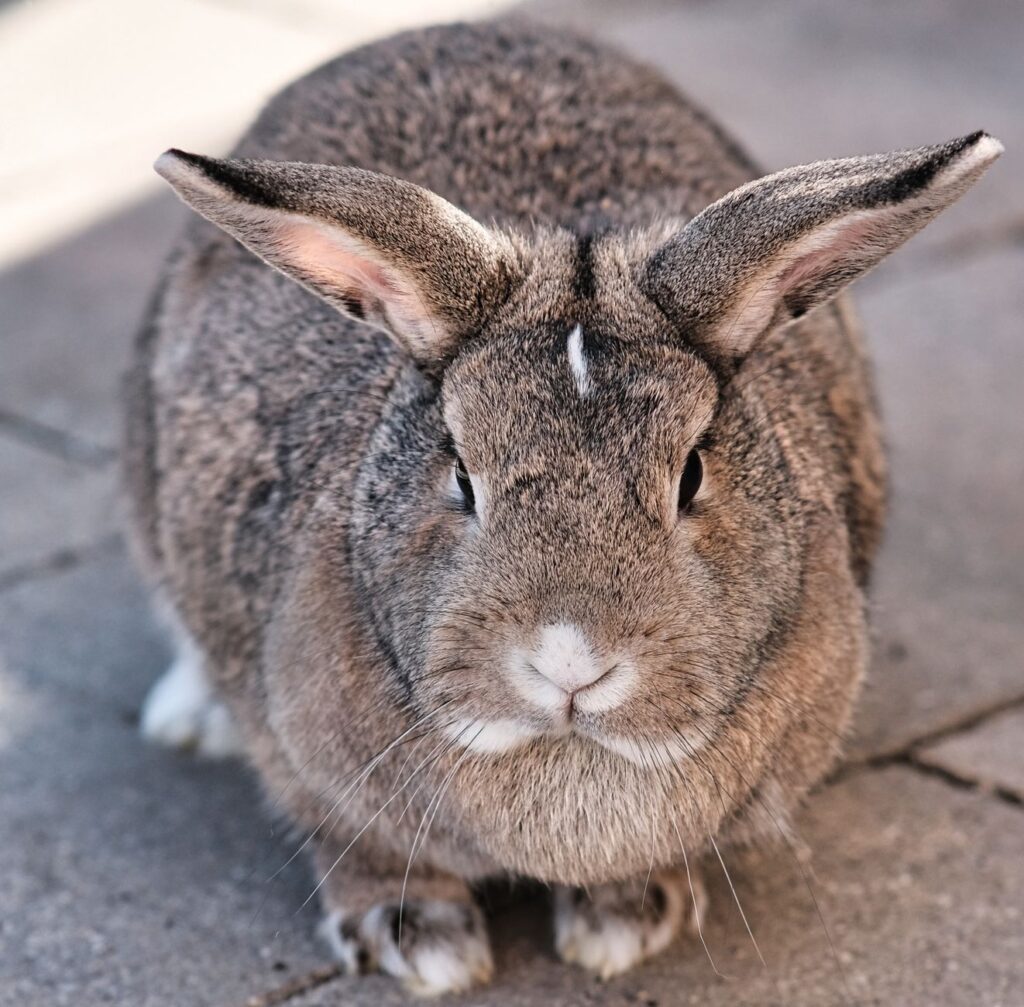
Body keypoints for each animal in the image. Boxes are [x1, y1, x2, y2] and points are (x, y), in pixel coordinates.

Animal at [123, 16, 1002, 997]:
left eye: (691, 473)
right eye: (461, 474)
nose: (571, 663)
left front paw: (624, 920)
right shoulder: (306, 765)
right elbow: (357, 846)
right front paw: (422, 944)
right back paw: (188, 719)